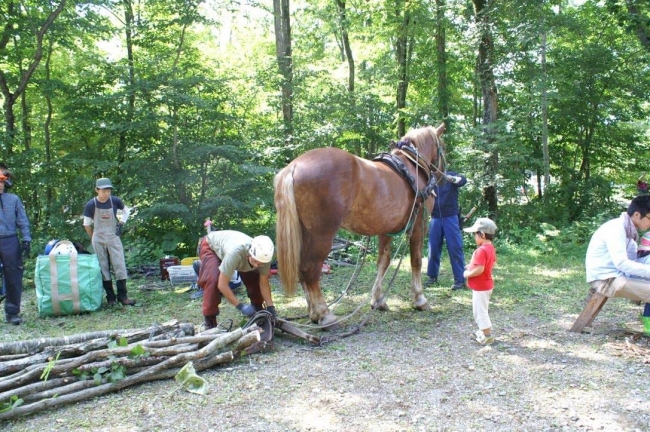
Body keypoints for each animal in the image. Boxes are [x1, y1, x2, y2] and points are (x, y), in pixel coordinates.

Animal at [274, 124, 446, 328]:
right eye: (443, 146)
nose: (443, 176)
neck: (413, 166)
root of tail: (294, 166)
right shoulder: (419, 224)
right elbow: (417, 261)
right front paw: (420, 299)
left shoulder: (385, 229)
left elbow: (383, 262)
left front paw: (378, 300)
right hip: (322, 235)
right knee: (310, 270)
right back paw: (324, 314)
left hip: (305, 234)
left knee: (302, 270)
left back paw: (313, 313)